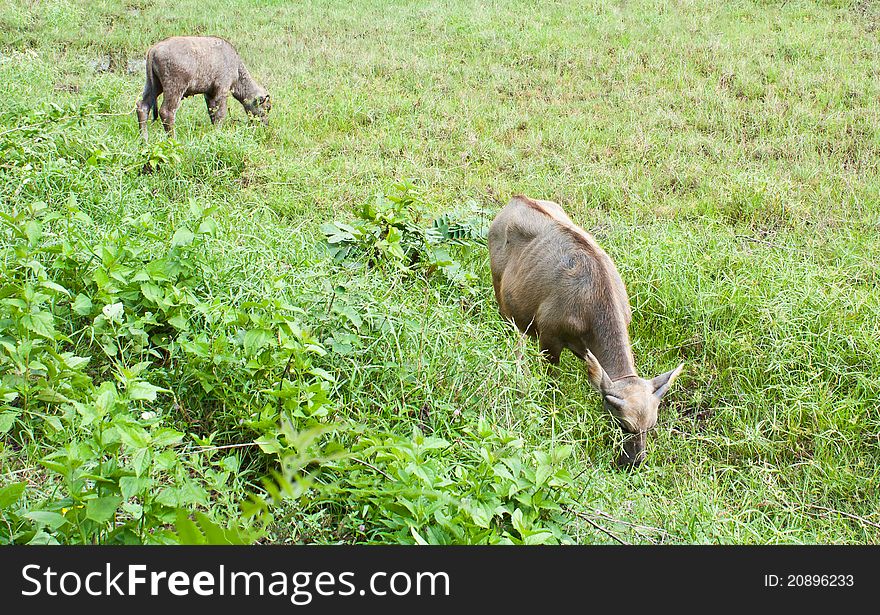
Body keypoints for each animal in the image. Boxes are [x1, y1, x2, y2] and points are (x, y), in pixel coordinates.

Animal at [134, 36, 270, 141]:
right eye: (266, 107)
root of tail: (153, 49)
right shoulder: (222, 91)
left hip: (153, 86)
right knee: (166, 112)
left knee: (142, 106)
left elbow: (212, 113)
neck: (236, 66)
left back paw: (144, 140)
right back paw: (173, 139)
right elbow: (221, 114)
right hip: (174, 89)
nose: (265, 125)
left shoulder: (209, 94)